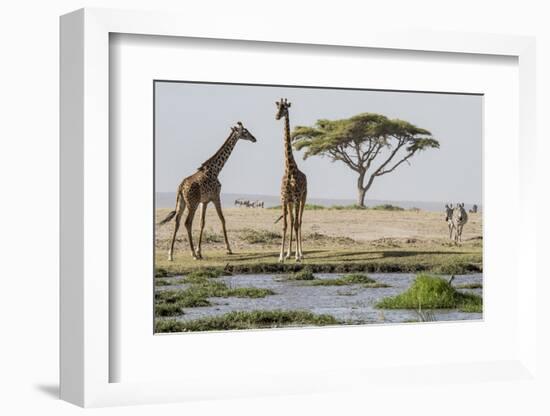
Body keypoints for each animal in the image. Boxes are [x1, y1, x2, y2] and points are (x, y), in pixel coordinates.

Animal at [161, 122, 258, 262]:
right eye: (244, 131)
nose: (254, 138)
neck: (216, 169)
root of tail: (181, 187)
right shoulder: (216, 196)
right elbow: (222, 219)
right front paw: (228, 249)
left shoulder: (205, 201)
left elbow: (202, 223)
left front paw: (200, 251)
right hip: (192, 204)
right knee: (187, 223)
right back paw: (192, 254)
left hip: (182, 203)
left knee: (177, 222)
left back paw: (170, 254)